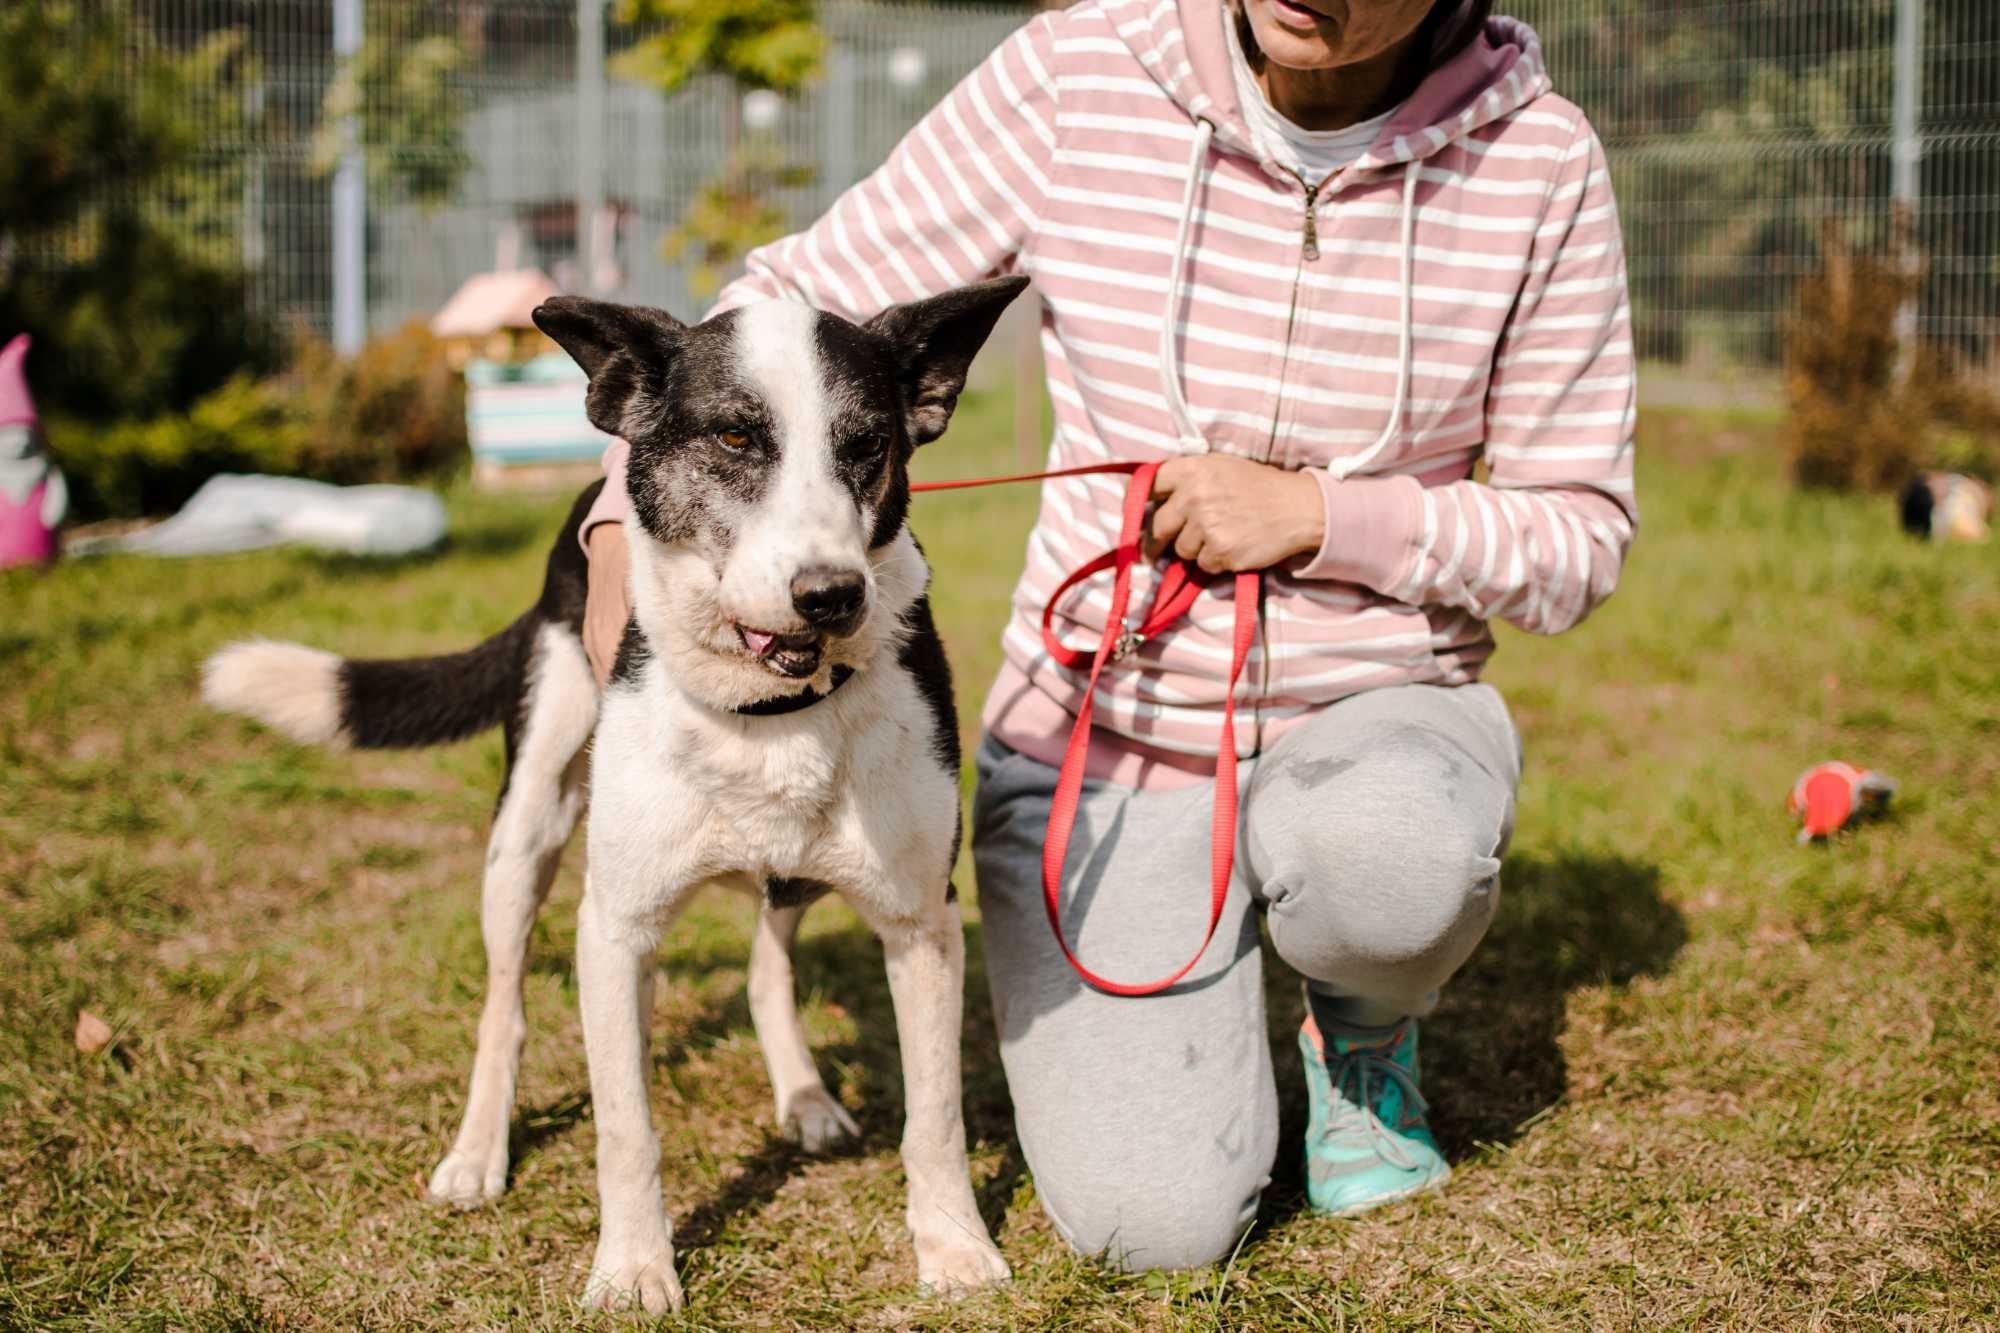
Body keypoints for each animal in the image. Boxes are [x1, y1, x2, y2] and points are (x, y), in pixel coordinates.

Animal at [205, 274, 1032, 1304]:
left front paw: (953, 1244)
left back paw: (803, 1096)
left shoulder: (923, 922)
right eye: (735, 439)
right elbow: (625, 1126)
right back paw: (477, 1152)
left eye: (868, 444)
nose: (833, 595)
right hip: (530, 825)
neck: (767, 705)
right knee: (508, 1006)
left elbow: (936, 1115)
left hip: (793, 873)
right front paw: (636, 1266)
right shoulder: (615, 922)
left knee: (766, 966)